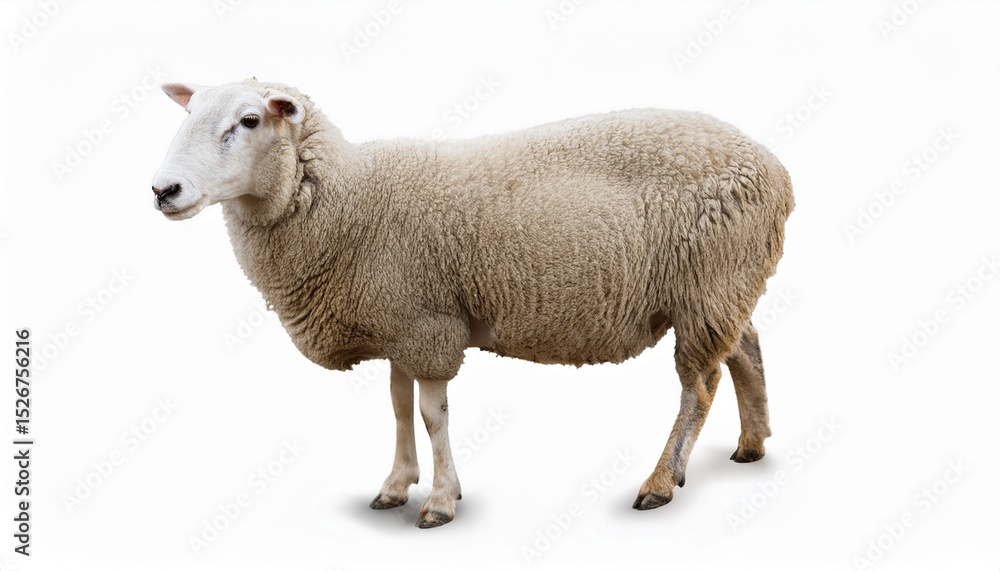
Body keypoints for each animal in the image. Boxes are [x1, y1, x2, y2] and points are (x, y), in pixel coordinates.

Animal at [151, 78, 794, 528]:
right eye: (188, 113)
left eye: (248, 120)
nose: (163, 190)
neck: (346, 199)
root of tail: (774, 167)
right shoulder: (398, 325)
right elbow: (398, 407)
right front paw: (395, 484)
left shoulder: (429, 325)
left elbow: (432, 414)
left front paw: (439, 500)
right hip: (724, 285)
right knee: (746, 349)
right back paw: (752, 442)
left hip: (707, 282)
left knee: (700, 385)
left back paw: (661, 481)